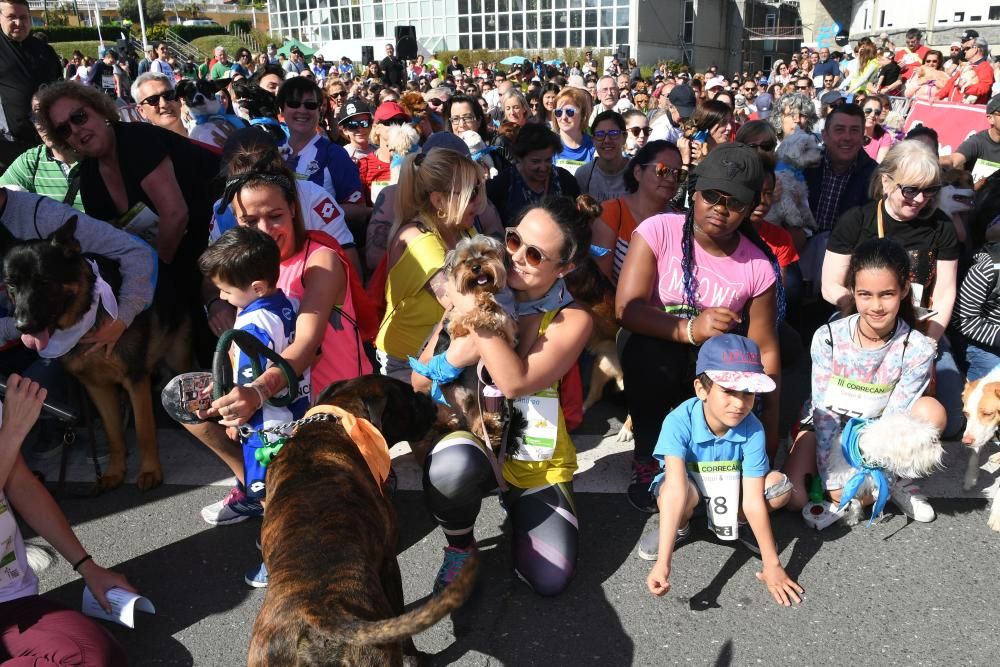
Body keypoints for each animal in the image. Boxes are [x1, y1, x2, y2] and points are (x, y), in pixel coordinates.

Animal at [1, 219, 189, 490]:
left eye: (44, 281)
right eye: (12, 285)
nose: (22, 327)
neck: (85, 315)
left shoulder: (135, 378)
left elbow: (144, 430)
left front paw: (150, 470)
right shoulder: (96, 386)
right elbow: (114, 435)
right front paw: (115, 470)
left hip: (177, 357)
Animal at [248, 376, 478, 667]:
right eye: (411, 398)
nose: (427, 398)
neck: (336, 423)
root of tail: (319, 622)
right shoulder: (389, 563)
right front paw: (413, 656)